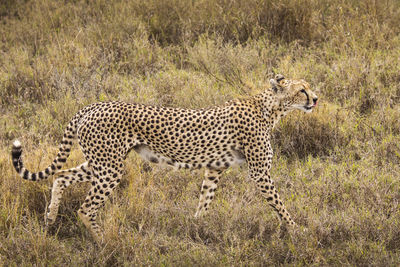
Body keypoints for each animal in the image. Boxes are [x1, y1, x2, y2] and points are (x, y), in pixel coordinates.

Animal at [11, 74, 318, 244]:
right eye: (301, 90)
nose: (315, 99)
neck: (270, 108)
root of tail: (93, 105)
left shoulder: (214, 169)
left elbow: (204, 202)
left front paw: (198, 228)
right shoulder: (260, 172)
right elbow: (280, 205)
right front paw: (298, 231)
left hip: (102, 162)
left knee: (60, 175)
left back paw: (50, 218)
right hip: (110, 168)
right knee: (86, 209)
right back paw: (105, 241)